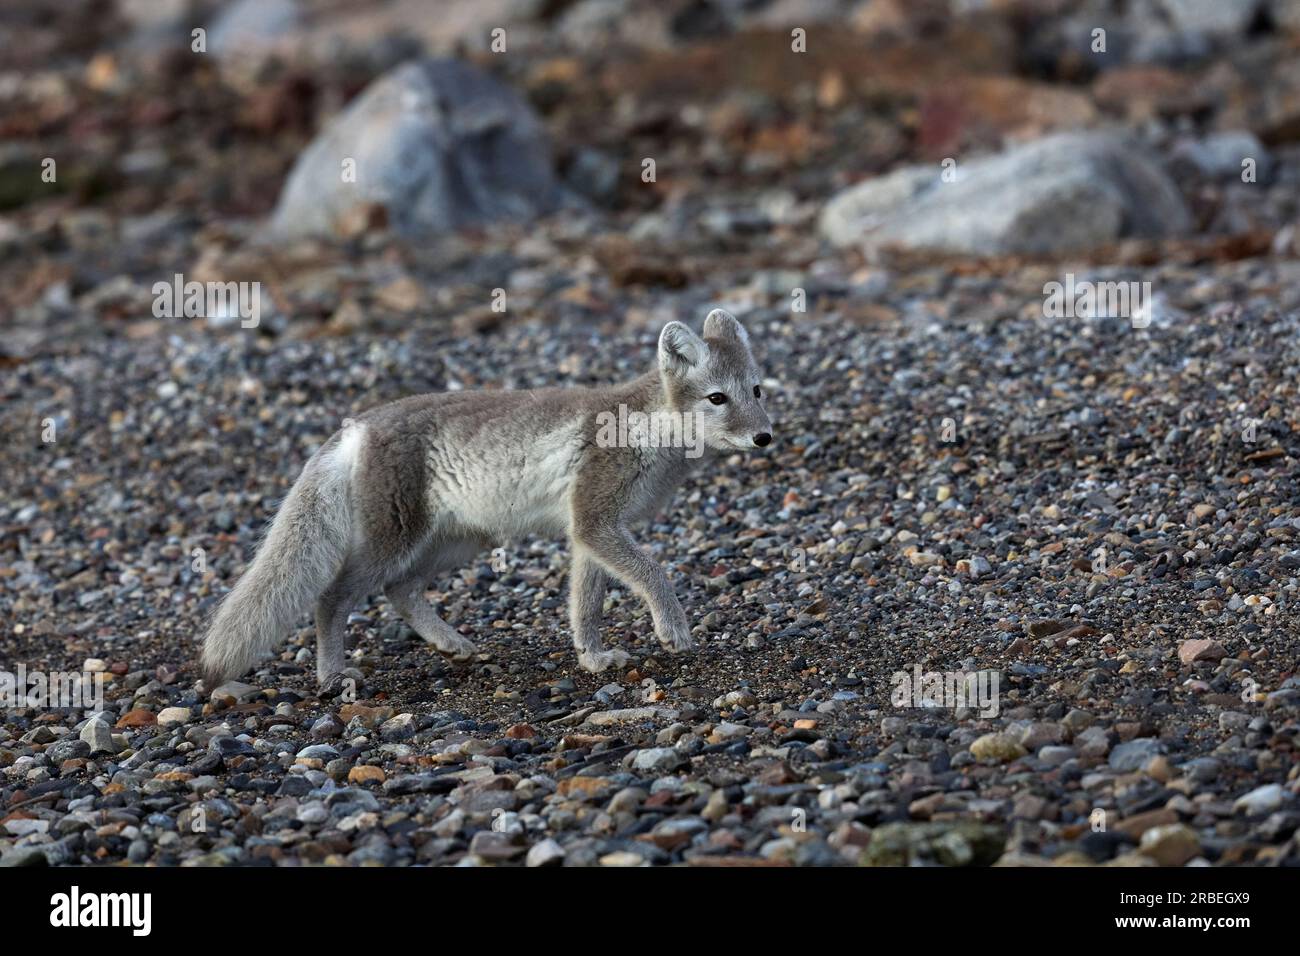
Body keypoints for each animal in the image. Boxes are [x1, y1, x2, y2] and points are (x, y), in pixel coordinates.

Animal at [200, 310, 769, 691]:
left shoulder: (590, 533)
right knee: (332, 598)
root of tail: (356, 426)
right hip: (396, 539)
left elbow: (585, 605)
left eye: (757, 390)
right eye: (717, 398)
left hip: (456, 541)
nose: (765, 437)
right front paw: (672, 629)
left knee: (400, 590)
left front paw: (593, 658)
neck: (646, 430)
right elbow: (655, 574)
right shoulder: (595, 524)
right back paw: (334, 676)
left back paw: (452, 645)